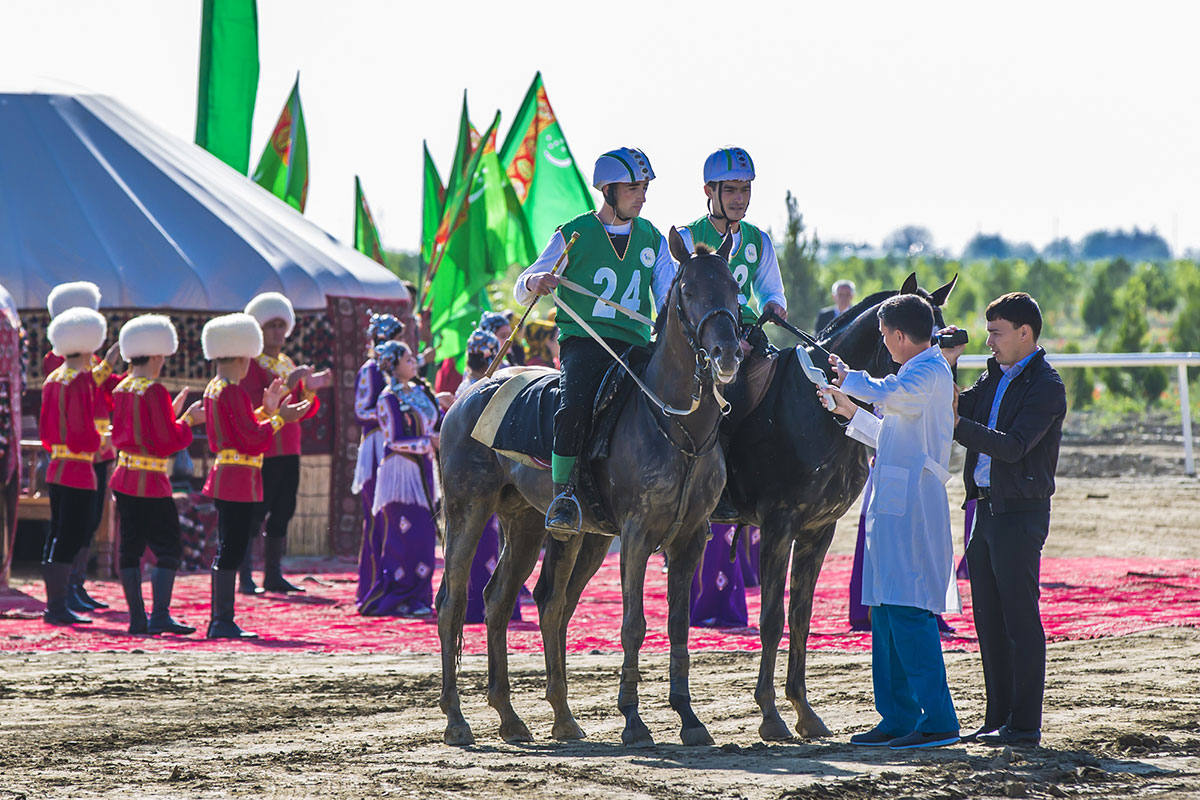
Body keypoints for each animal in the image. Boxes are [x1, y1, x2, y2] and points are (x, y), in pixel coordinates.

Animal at [436, 226, 744, 753]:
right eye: (688, 291)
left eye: (733, 288)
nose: (727, 354)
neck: (675, 425)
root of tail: (472, 389)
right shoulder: (638, 536)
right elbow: (634, 625)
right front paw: (634, 722)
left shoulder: (690, 539)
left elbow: (678, 626)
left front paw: (688, 718)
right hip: (467, 510)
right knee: (454, 602)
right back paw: (457, 719)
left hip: (536, 526)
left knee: (510, 600)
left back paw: (526, 717)